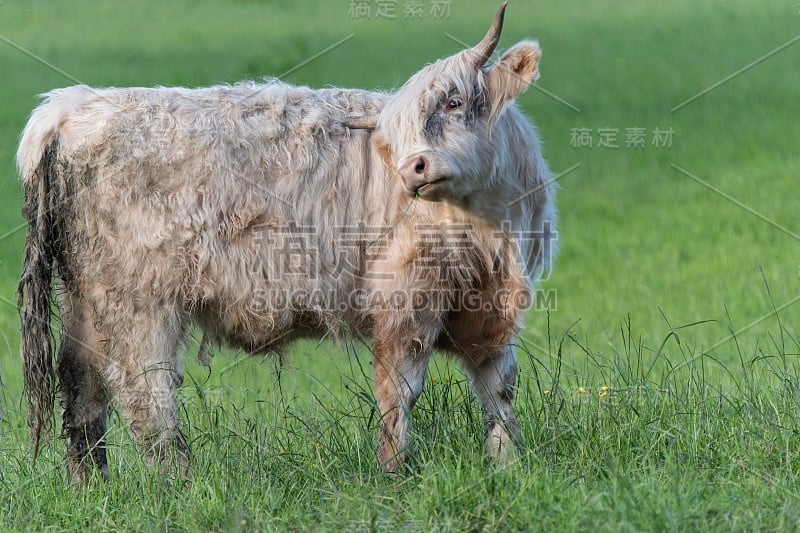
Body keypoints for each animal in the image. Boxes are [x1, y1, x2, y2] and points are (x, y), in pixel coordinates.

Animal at [18, 1, 556, 482]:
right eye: (393, 138)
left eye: (454, 102)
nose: (412, 170)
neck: (491, 230)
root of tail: (72, 105)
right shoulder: (408, 301)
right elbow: (400, 389)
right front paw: (395, 471)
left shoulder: (484, 307)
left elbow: (498, 387)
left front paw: (509, 465)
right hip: (139, 304)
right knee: (145, 393)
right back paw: (178, 483)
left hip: (85, 300)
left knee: (82, 386)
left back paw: (92, 486)